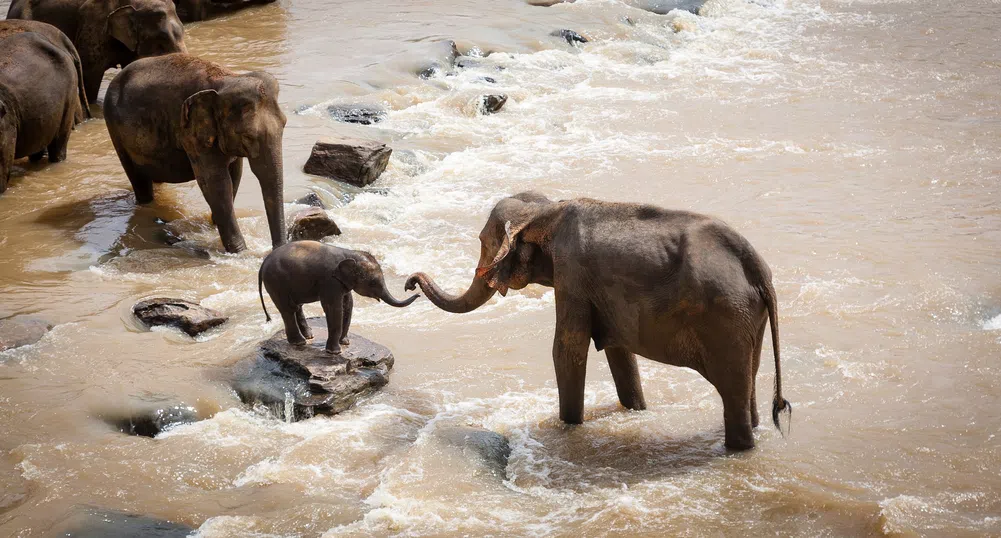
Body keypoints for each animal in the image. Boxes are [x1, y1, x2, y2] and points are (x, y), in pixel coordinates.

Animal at [103, 52, 288, 251]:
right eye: (248, 136)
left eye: (284, 124)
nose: (276, 249)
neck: (227, 79)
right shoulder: (191, 132)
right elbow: (216, 182)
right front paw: (240, 251)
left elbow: (235, 175)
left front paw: (215, 226)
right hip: (114, 130)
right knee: (137, 178)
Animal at [258, 241, 418, 354]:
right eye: (372, 282)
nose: (414, 289)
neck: (349, 253)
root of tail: (263, 263)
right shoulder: (330, 281)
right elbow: (334, 308)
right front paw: (335, 352)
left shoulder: (343, 282)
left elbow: (348, 304)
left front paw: (345, 343)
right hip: (276, 282)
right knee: (288, 309)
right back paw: (299, 342)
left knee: (296, 306)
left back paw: (308, 336)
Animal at [406, 191, 788, 450]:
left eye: (483, 242)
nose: (410, 283)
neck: (546, 211)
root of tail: (757, 267)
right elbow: (620, 352)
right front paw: (636, 410)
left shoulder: (572, 275)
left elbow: (567, 349)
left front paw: (568, 427)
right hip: (747, 319)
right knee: (748, 381)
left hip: (726, 317)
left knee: (733, 389)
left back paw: (738, 448)